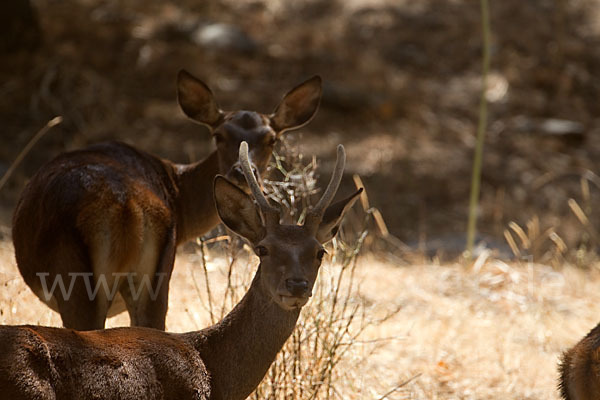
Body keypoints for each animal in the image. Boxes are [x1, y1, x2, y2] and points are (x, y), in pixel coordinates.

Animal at [11, 70, 324, 330]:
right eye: (219, 135)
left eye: (272, 139)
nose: (241, 171)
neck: (179, 198)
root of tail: (126, 207)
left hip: (79, 282)